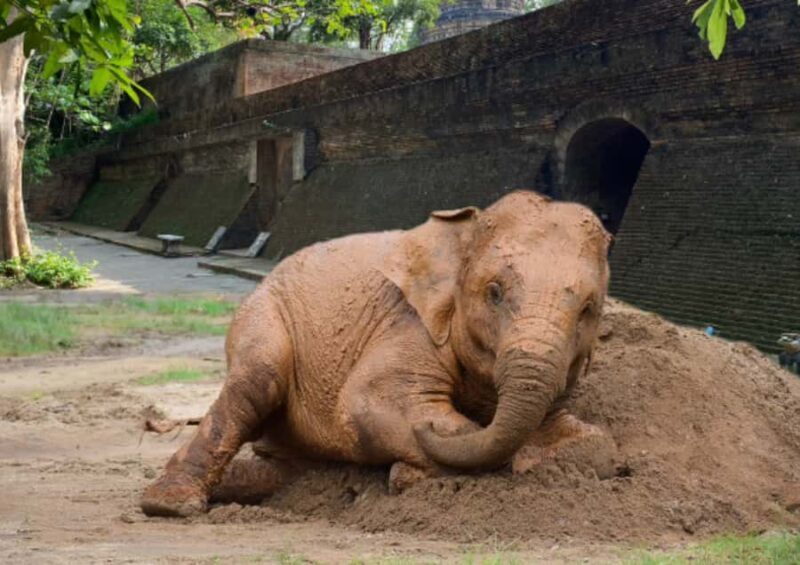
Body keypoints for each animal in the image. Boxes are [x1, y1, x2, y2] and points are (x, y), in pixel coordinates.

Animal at [141, 190, 617, 517]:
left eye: (589, 310)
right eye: (494, 292)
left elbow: (599, 446)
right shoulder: (411, 322)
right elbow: (366, 401)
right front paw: (412, 471)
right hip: (261, 317)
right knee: (254, 382)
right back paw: (171, 505)